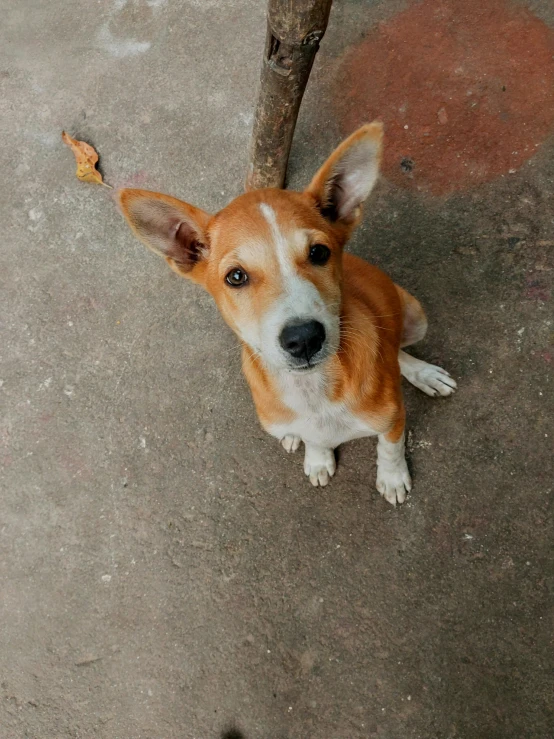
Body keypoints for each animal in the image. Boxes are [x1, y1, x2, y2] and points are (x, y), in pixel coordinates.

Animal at [116, 124, 452, 506]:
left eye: (319, 252)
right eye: (236, 276)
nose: (304, 338)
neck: (313, 391)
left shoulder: (393, 419)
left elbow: (390, 448)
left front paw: (393, 478)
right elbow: (315, 439)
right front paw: (317, 457)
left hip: (415, 312)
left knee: (399, 349)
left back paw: (423, 373)